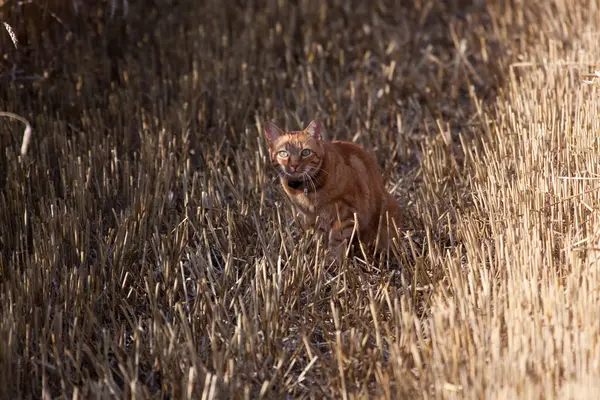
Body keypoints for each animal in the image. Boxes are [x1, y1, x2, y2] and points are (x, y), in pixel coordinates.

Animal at [264, 119, 400, 262]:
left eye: (306, 152)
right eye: (283, 154)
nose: (294, 165)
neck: (307, 191)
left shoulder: (346, 214)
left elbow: (336, 239)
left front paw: (332, 261)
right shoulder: (314, 218)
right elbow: (320, 240)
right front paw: (321, 258)